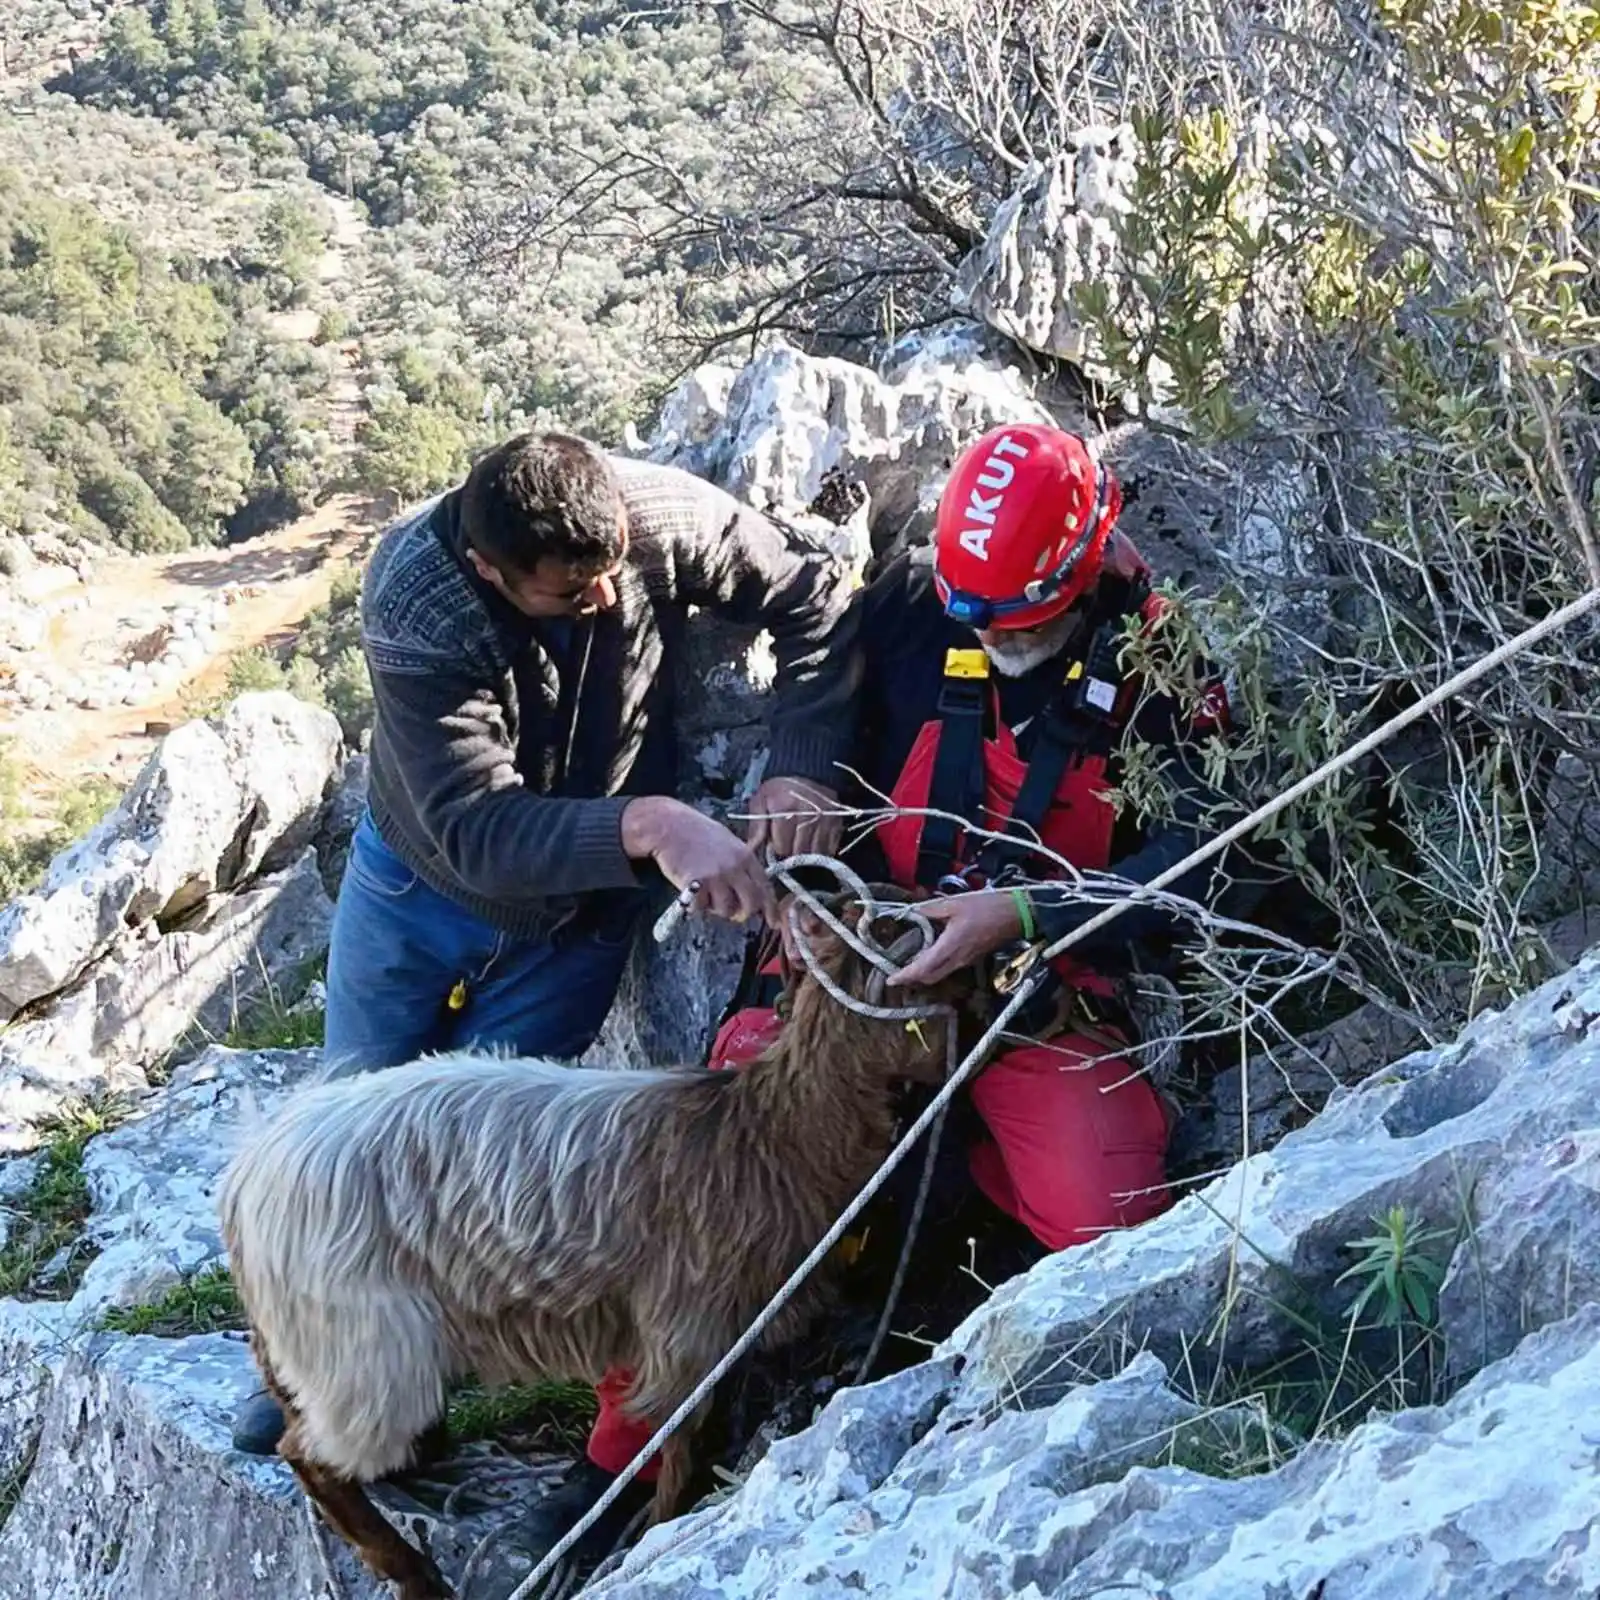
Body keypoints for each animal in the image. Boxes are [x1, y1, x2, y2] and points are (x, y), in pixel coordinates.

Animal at [222, 889, 972, 1600]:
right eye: (959, 980)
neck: (769, 1130)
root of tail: (248, 1173)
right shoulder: (687, 1336)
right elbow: (679, 1450)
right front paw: (658, 1528)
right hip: (365, 1342)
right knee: (311, 1455)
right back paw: (412, 1571)